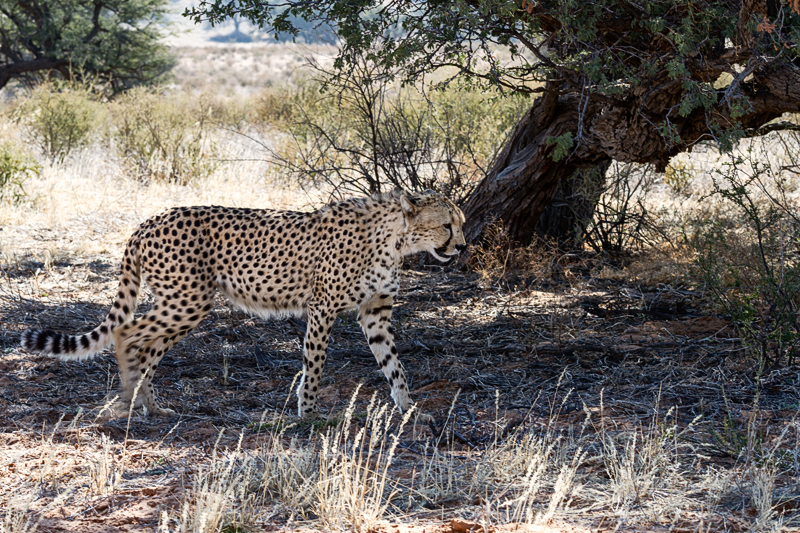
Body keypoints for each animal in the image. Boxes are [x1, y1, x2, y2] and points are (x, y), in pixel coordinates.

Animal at [18, 191, 466, 420]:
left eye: (460, 224)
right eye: (447, 224)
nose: (462, 247)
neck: (395, 239)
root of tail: (148, 220)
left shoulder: (375, 313)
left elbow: (394, 365)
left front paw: (409, 409)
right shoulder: (321, 308)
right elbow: (315, 365)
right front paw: (309, 414)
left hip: (182, 304)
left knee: (147, 346)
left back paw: (151, 404)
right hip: (187, 300)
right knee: (128, 332)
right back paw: (129, 401)